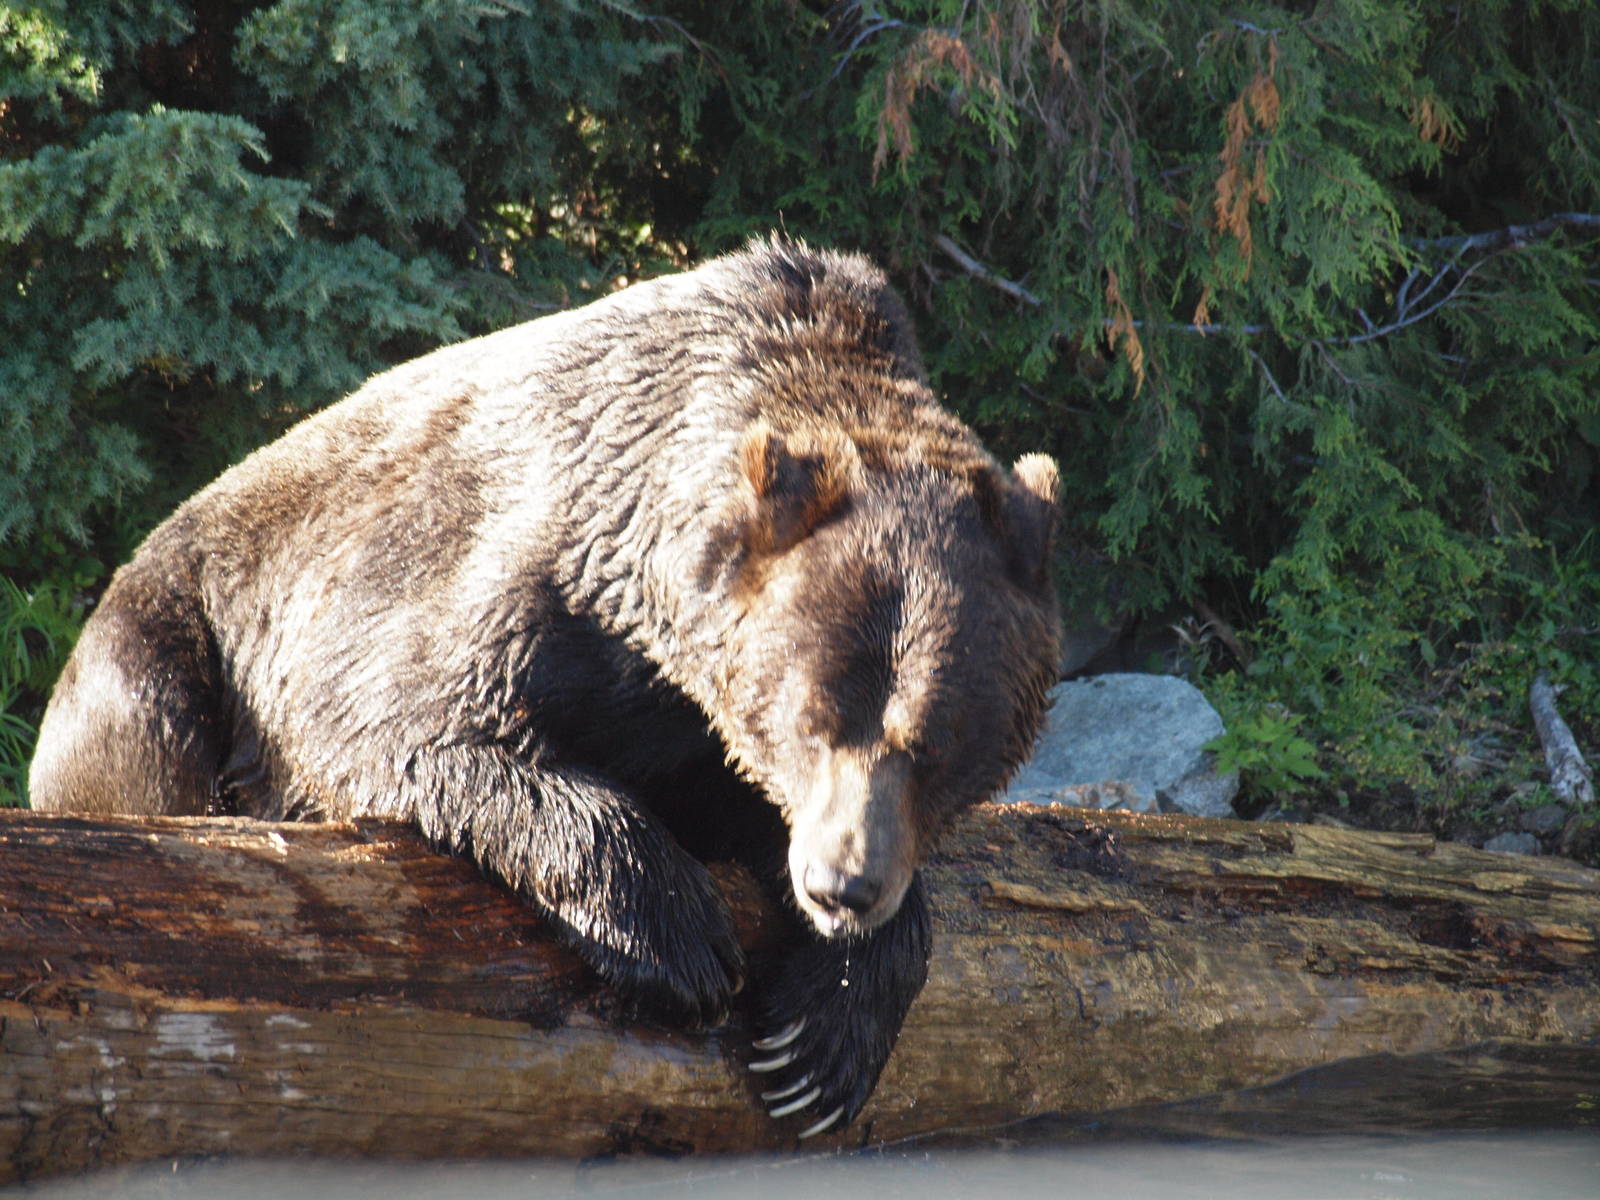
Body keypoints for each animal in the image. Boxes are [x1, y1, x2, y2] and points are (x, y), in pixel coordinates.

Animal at [29, 236, 1062, 1137]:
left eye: (935, 745)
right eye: (809, 721)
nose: (843, 886)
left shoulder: (689, 719)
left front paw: (817, 1043)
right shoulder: (516, 574)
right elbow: (405, 717)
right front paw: (680, 938)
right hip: (168, 627)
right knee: (143, 736)